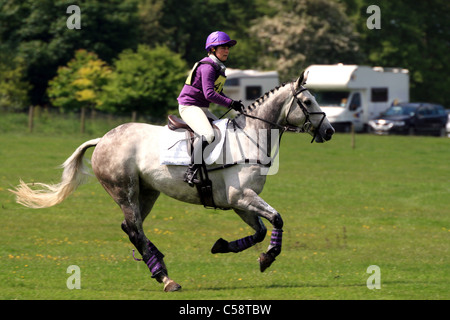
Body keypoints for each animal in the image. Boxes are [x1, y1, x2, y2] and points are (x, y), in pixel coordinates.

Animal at [11, 71, 334, 292]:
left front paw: (222, 247)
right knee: (135, 230)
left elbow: (260, 231)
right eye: (307, 101)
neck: (250, 137)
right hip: (125, 190)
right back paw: (165, 277)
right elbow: (276, 219)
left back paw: (158, 262)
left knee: (131, 228)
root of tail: (102, 139)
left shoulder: (239, 203)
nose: (329, 131)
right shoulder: (241, 197)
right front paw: (268, 258)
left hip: (147, 193)